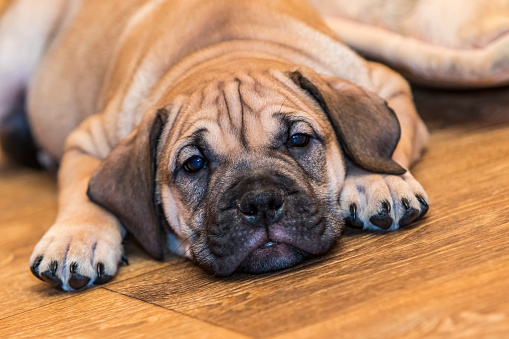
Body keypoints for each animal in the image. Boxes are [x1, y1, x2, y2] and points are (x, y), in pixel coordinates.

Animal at [0, 0, 428, 292]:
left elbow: (380, 147)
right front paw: (75, 238)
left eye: (298, 140)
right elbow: (82, 190)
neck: (224, 48)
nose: (261, 202)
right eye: (194, 164)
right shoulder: (86, 141)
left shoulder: (389, 85)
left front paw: (378, 180)